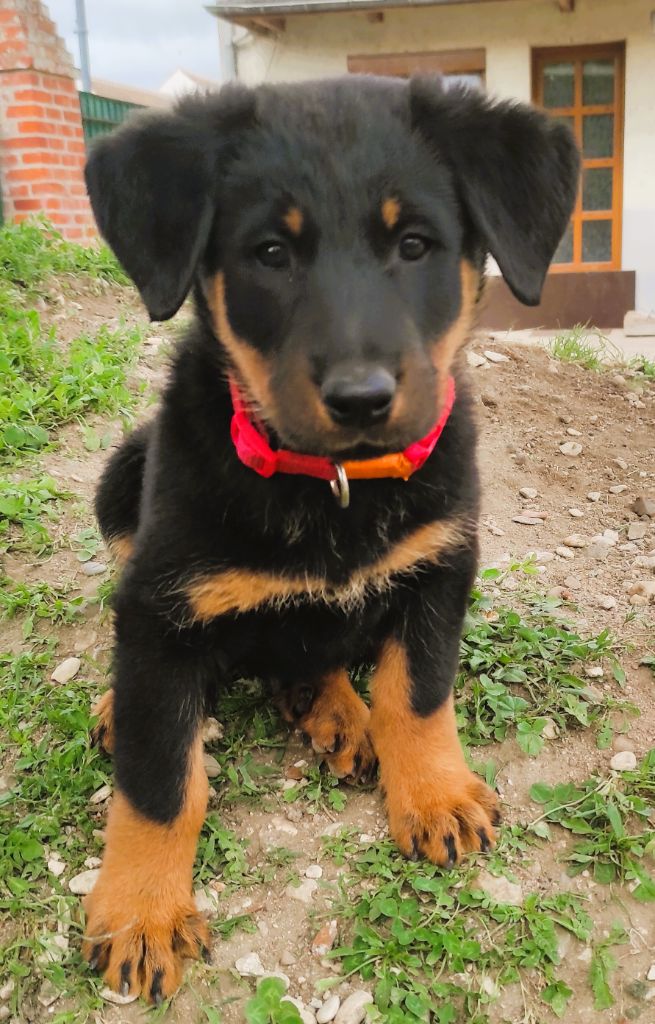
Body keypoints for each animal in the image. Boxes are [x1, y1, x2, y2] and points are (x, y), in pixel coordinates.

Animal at [82, 75, 579, 1003]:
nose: (361, 399)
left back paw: (338, 711)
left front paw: (433, 794)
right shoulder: (162, 611)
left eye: (415, 245)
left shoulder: (440, 565)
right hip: (124, 476)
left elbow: (416, 693)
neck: (333, 486)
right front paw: (141, 911)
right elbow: (159, 780)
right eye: (271, 253)